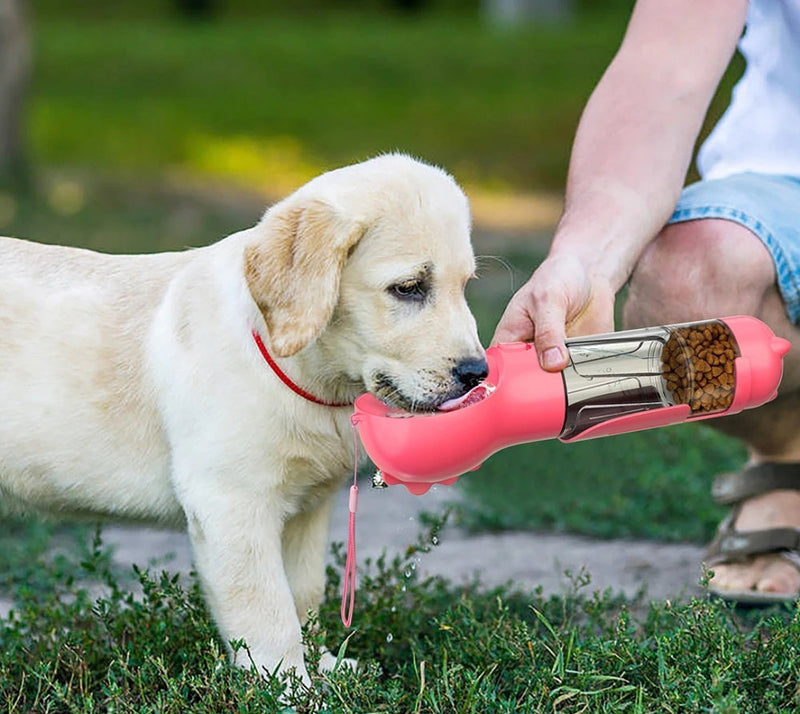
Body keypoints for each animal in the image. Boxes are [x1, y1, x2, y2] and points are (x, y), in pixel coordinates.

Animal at [0, 154, 488, 680]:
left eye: (465, 286)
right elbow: (268, 612)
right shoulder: (231, 503)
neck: (304, 375)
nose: (477, 373)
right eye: (409, 288)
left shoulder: (308, 508)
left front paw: (326, 667)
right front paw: (289, 686)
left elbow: (303, 595)